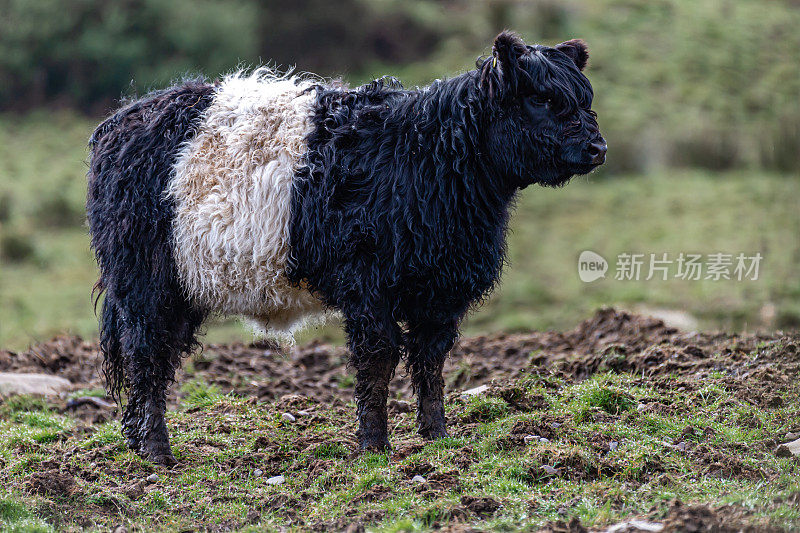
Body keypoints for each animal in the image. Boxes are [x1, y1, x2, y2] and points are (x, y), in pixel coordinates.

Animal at [87, 32, 608, 466]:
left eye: (585, 98)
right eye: (541, 98)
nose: (598, 147)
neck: (428, 157)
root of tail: (122, 119)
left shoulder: (440, 294)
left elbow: (431, 361)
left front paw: (437, 438)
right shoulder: (367, 284)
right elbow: (378, 358)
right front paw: (374, 446)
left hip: (179, 286)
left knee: (156, 357)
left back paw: (137, 440)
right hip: (144, 281)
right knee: (146, 355)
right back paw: (158, 453)